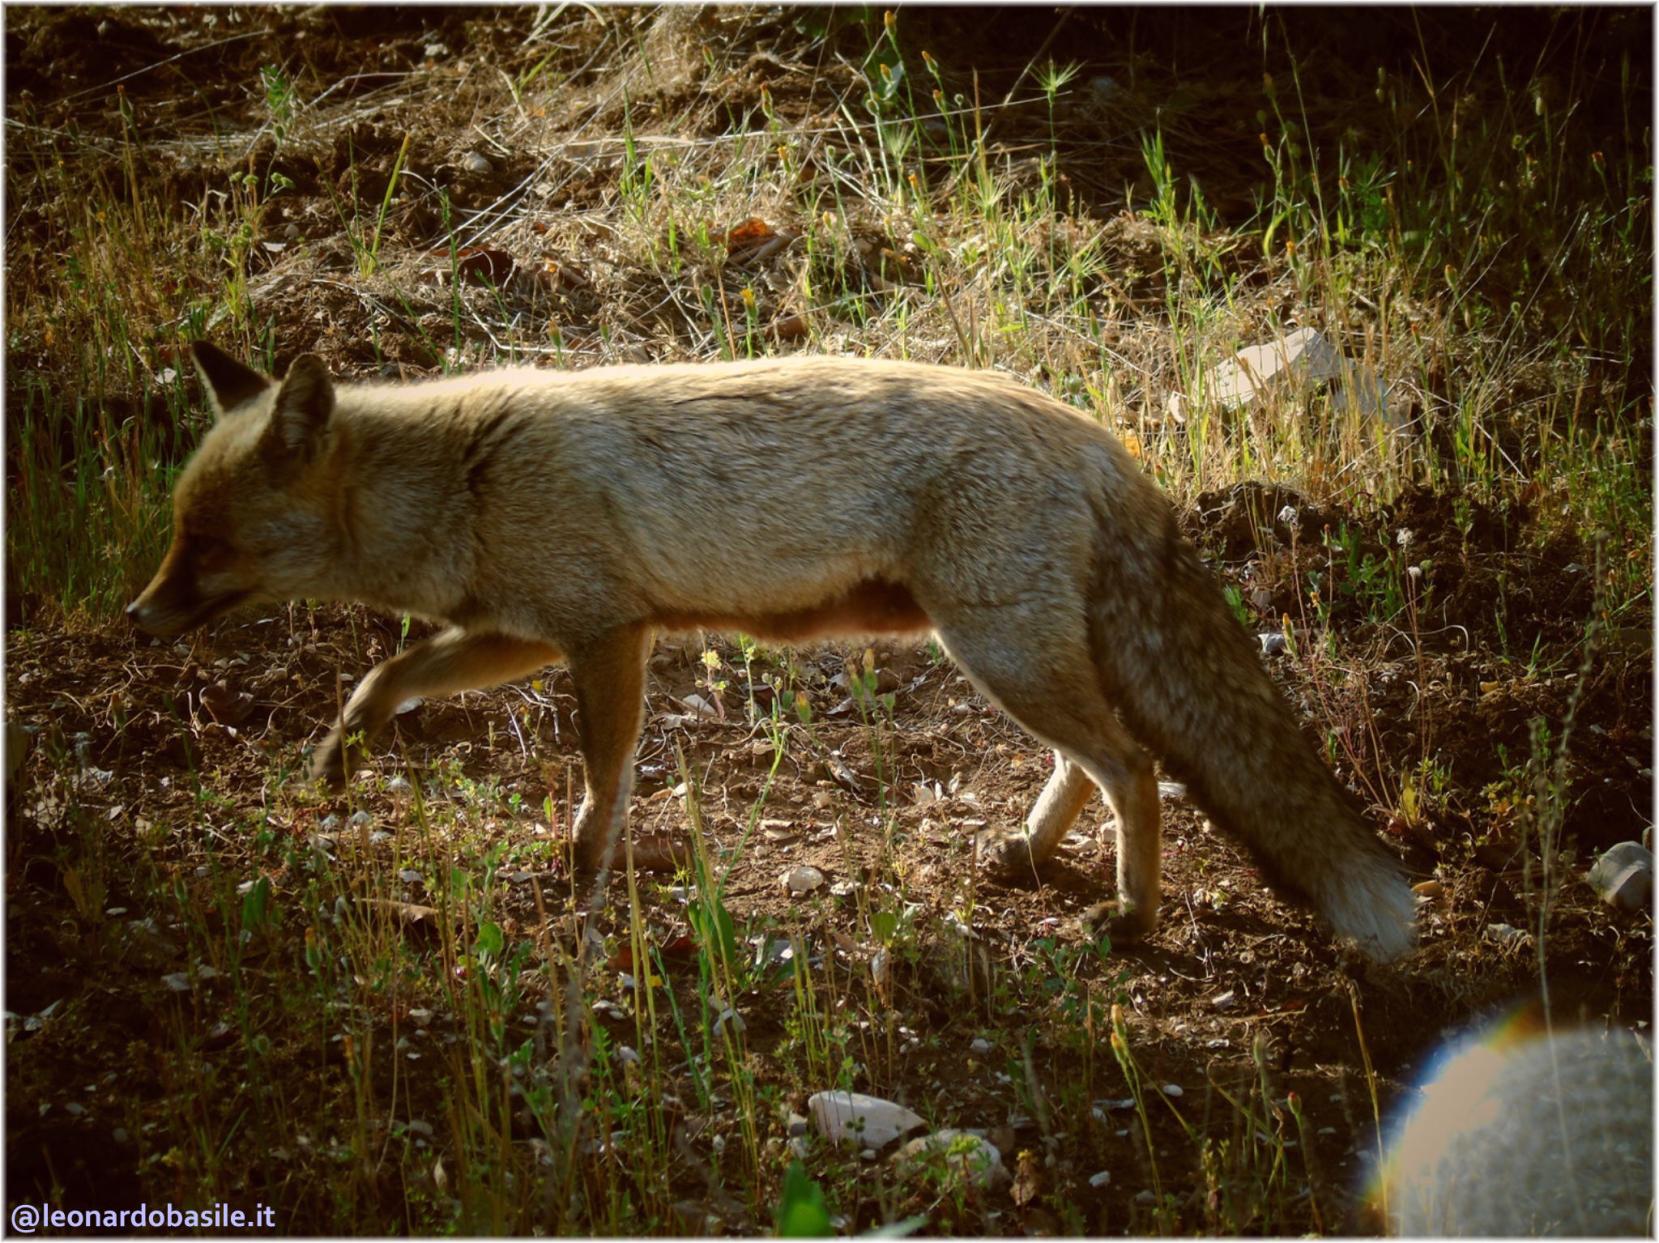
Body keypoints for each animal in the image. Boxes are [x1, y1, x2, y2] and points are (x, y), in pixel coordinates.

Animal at [132, 346, 1426, 962]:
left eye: (208, 543)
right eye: (177, 533)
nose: (137, 618)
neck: (467, 474)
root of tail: (1107, 442)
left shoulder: (608, 635)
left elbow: (603, 780)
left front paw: (585, 874)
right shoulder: (522, 629)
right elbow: (381, 676)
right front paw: (340, 757)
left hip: (995, 650)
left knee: (1137, 768)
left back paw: (1133, 915)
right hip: (1008, 654)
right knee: (1097, 762)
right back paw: (1028, 854)